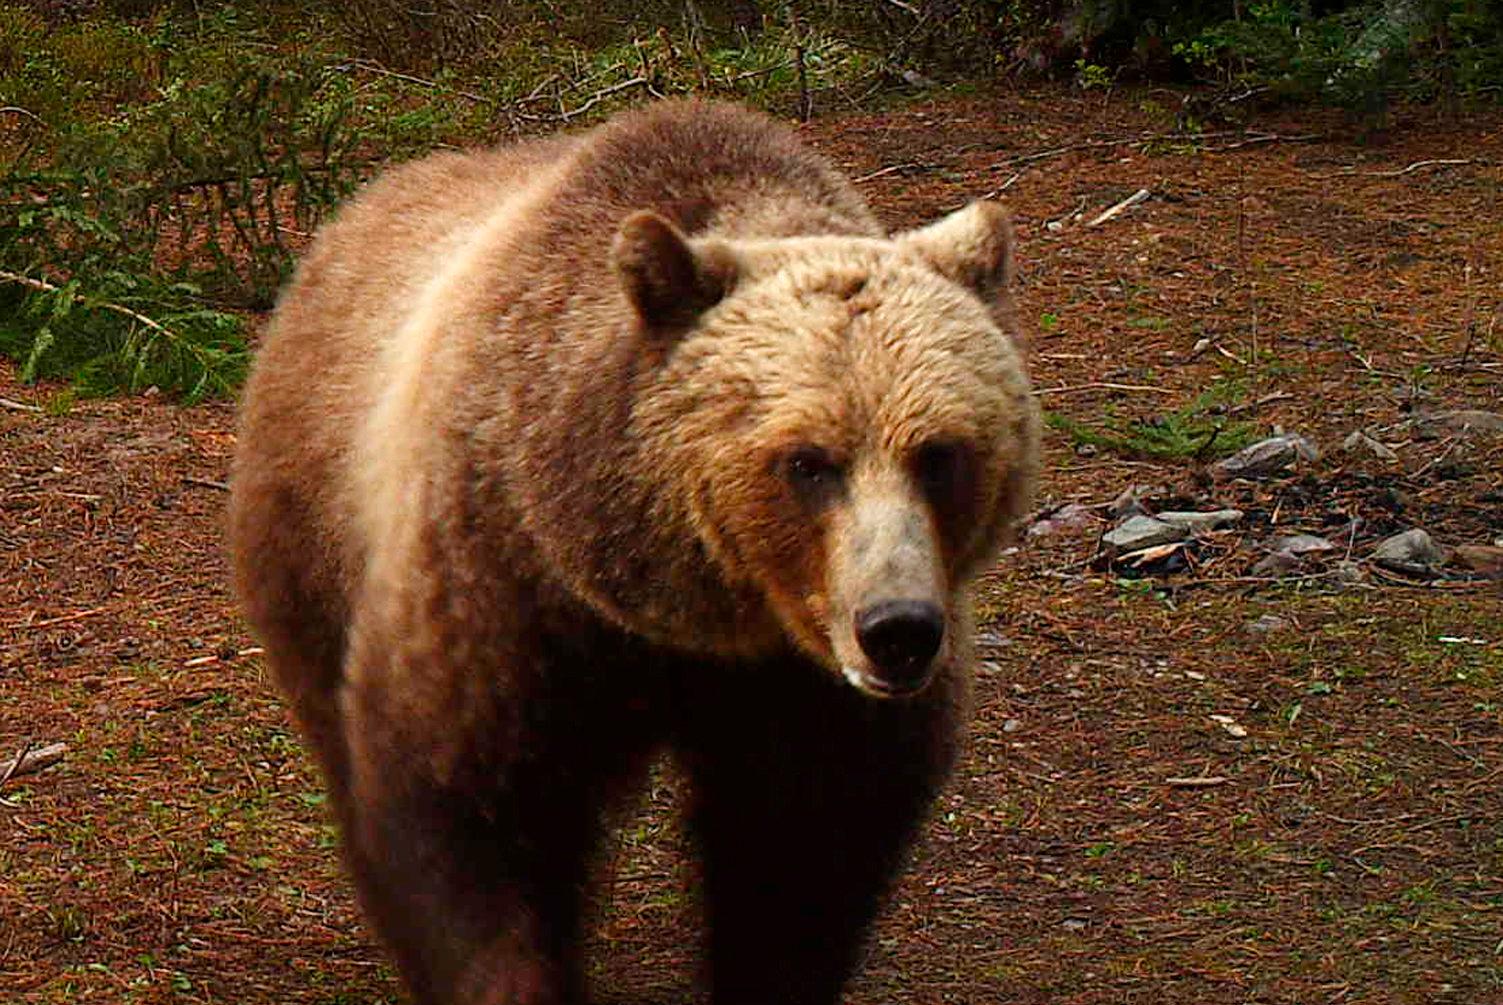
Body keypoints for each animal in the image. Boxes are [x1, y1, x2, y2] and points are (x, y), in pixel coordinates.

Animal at [228, 96, 1040, 1003]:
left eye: (938, 453)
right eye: (806, 461)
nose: (897, 629)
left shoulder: (803, 689)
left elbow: (803, 845)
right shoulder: (502, 579)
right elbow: (463, 810)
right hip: (312, 530)